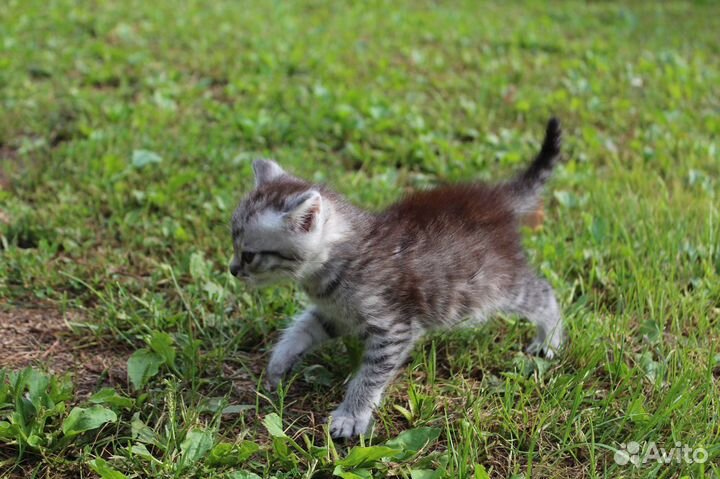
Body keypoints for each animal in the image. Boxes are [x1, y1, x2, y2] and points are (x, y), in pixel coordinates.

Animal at [228, 117, 564, 438]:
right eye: (234, 244)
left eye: (249, 255)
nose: (232, 269)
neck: (341, 261)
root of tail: (496, 197)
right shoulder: (334, 314)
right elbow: (300, 330)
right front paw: (278, 364)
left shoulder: (393, 327)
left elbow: (369, 377)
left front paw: (351, 415)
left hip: (499, 283)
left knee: (544, 292)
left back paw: (549, 339)